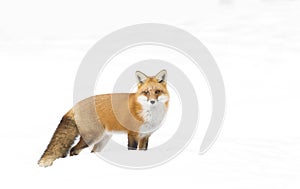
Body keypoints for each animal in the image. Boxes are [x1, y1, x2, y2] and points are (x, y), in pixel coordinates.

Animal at [37, 69, 169, 167]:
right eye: (146, 92)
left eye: (157, 91)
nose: (152, 101)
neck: (148, 114)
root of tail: (76, 105)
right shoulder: (132, 134)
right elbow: (131, 150)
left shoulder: (145, 136)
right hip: (92, 137)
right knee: (73, 150)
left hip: (102, 140)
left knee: (90, 152)